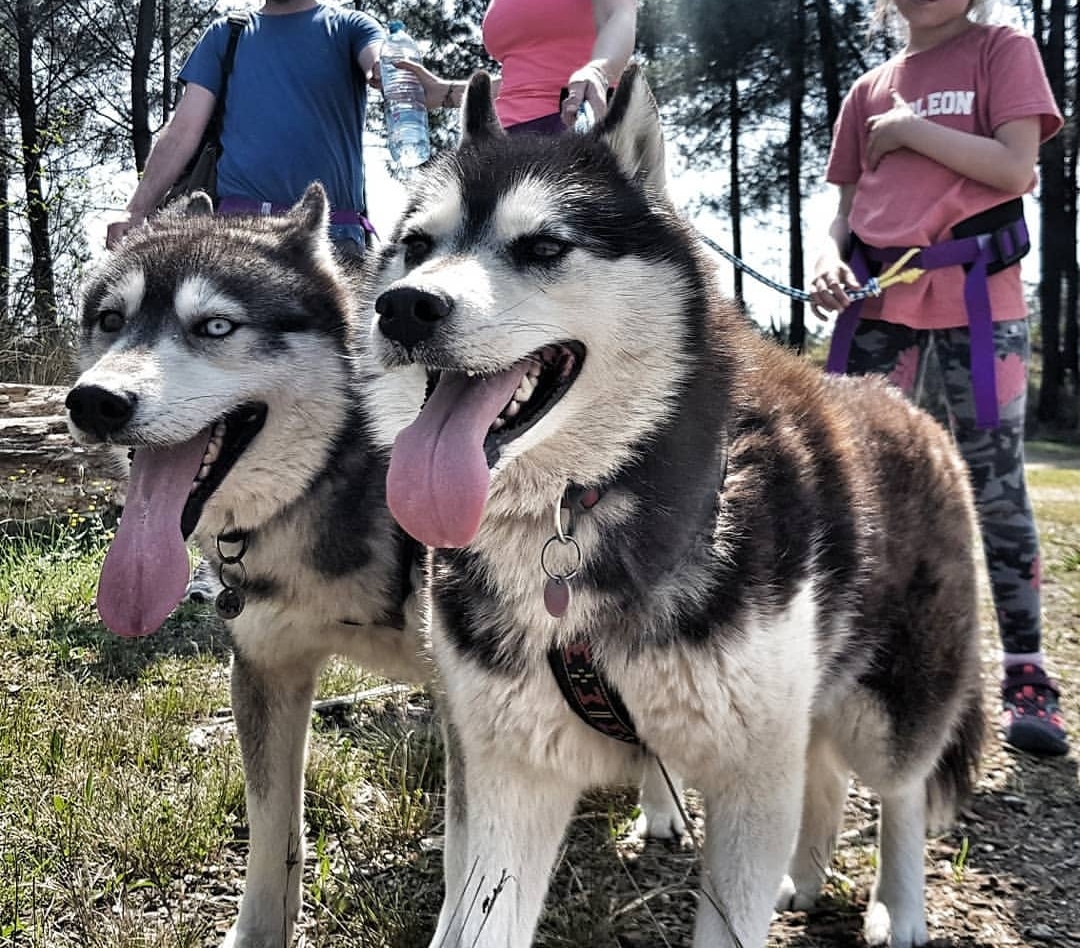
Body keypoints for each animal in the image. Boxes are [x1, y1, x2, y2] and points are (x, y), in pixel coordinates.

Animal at [367, 68, 984, 948]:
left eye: (544, 247)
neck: (578, 511)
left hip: (891, 697)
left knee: (897, 791)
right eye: (417, 245)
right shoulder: (508, 767)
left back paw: (897, 908)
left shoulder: (752, 771)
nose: (404, 306)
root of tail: (907, 407)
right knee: (824, 775)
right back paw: (801, 876)